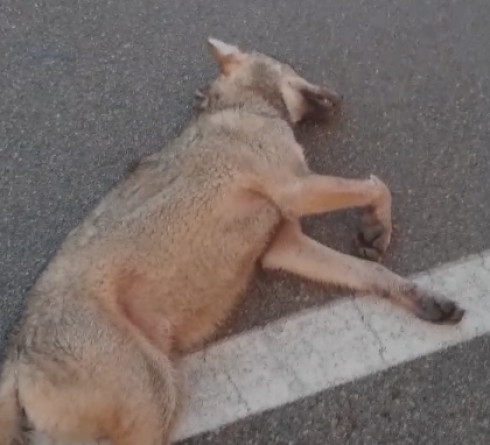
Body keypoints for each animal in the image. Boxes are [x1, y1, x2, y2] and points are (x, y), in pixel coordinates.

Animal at [0, 37, 466, 444]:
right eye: (289, 64)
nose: (339, 94)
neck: (246, 105)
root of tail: (15, 362)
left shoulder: (284, 245)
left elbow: (372, 270)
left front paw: (420, 296)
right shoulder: (297, 188)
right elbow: (377, 186)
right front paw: (377, 225)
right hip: (154, 405)